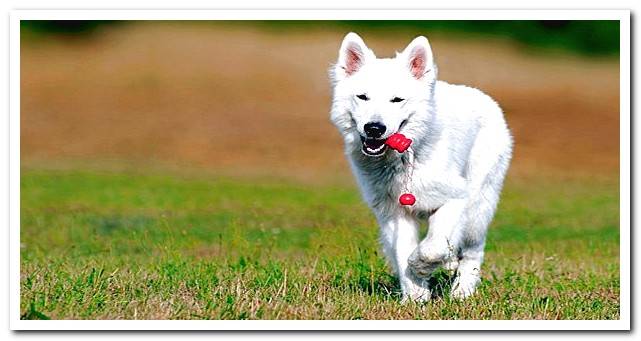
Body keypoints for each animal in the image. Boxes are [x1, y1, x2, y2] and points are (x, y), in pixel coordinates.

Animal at [328, 33, 512, 300]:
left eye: (397, 100)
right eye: (362, 97)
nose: (374, 128)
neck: (404, 159)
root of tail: (484, 97)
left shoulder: (456, 198)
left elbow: (432, 247)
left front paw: (422, 267)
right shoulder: (395, 213)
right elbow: (404, 251)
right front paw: (416, 296)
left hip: (478, 208)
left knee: (472, 251)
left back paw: (461, 292)